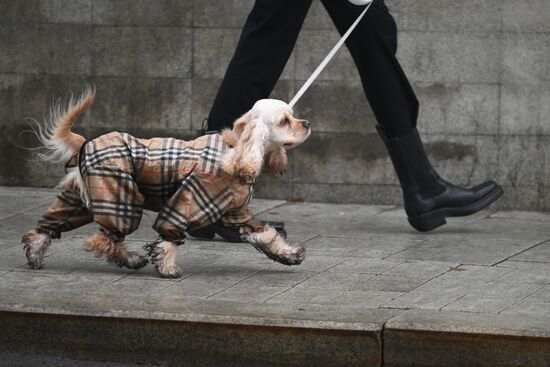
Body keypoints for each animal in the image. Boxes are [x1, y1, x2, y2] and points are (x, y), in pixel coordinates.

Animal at [21, 87, 312, 278]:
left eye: (293, 115)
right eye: (285, 121)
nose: (307, 123)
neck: (236, 150)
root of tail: (86, 143)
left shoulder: (237, 212)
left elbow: (265, 235)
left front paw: (289, 254)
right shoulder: (190, 199)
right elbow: (169, 237)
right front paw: (168, 267)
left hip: (80, 198)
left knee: (49, 226)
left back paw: (35, 253)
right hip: (120, 195)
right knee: (106, 238)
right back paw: (132, 259)